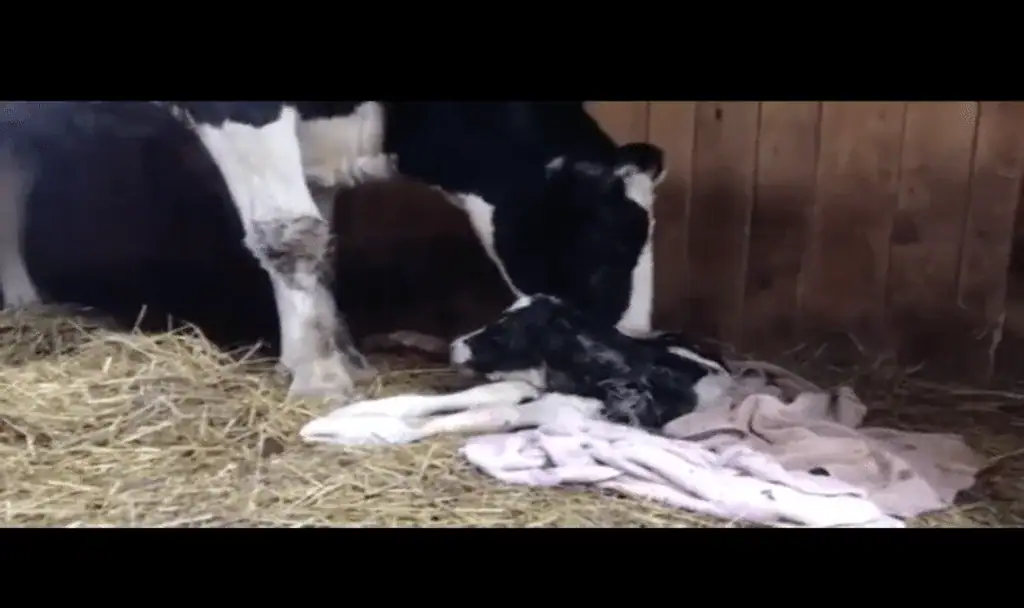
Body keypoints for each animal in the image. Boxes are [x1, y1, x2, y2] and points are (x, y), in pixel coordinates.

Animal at [0, 101, 665, 400]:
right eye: (610, 236)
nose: (632, 345)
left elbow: (321, 240)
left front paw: (337, 353)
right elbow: (288, 234)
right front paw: (321, 377)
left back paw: (26, 307)